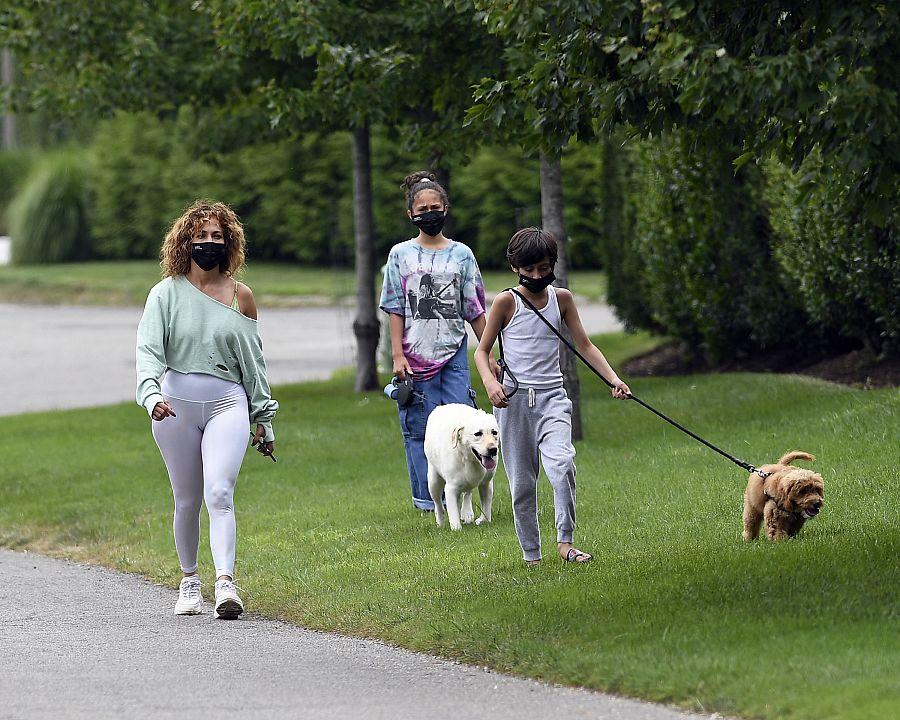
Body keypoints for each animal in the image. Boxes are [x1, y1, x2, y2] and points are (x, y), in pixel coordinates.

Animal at [428, 402, 502, 532]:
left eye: (494, 432)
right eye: (478, 434)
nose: (493, 449)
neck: (468, 459)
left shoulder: (486, 483)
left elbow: (486, 505)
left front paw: (483, 520)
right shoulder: (451, 488)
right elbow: (452, 510)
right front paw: (456, 529)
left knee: (467, 492)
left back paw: (467, 513)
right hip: (433, 480)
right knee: (438, 503)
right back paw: (440, 522)